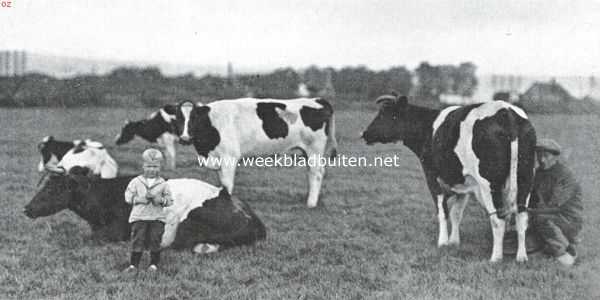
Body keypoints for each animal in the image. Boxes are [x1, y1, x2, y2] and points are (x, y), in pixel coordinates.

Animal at [173, 98, 338, 209]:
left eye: (194, 117)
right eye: (178, 118)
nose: (184, 138)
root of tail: (317, 100)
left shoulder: (229, 158)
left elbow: (226, 184)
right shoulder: (218, 159)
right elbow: (221, 183)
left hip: (314, 149)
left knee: (316, 173)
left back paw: (311, 203)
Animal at [360, 92, 536, 262]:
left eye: (385, 114)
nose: (364, 134)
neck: (428, 128)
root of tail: (506, 111)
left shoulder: (431, 176)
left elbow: (442, 211)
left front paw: (443, 242)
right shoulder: (463, 183)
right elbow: (456, 213)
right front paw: (454, 242)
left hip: (490, 184)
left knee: (498, 219)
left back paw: (495, 258)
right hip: (525, 179)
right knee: (522, 217)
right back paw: (521, 257)